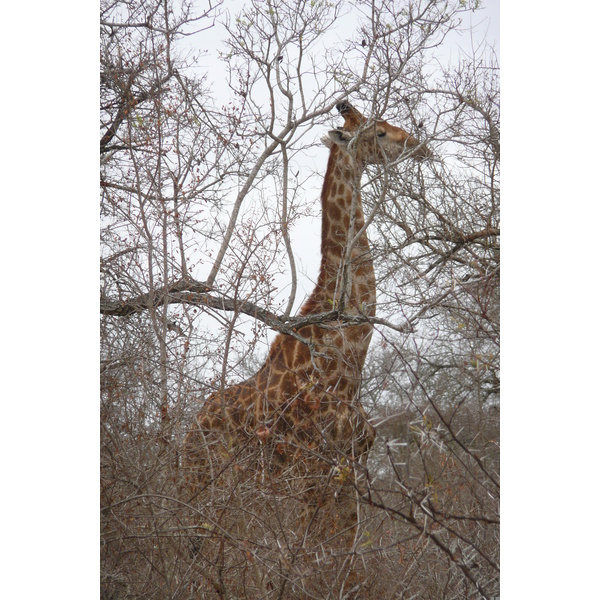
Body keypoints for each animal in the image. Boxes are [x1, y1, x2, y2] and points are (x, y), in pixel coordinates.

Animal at [180, 102, 428, 544]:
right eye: (378, 132)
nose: (419, 145)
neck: (348, 356)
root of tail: (188, 434)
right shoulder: (310, 467)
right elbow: (314, 551)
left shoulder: (352, 461)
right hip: (211, 481)